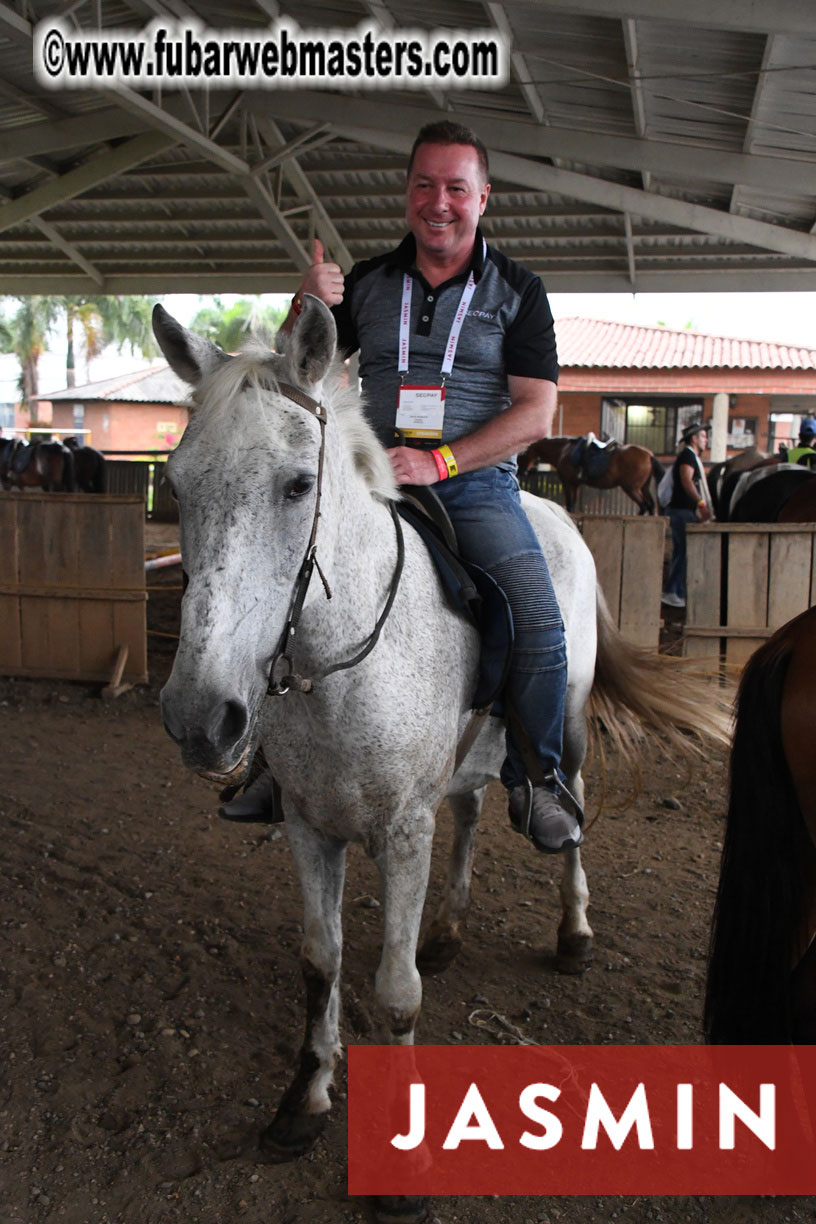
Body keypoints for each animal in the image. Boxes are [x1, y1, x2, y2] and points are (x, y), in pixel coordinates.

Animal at [523, 435, 665, 511]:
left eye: (522, 453)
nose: (523, 471)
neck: (563, 451)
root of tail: (648, 454)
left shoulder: (568, 483)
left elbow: (569, 504)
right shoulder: (575, 484)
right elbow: (572, 504)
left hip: (631, 487)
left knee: (644, 505)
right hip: (643, 487)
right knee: (650, 505)